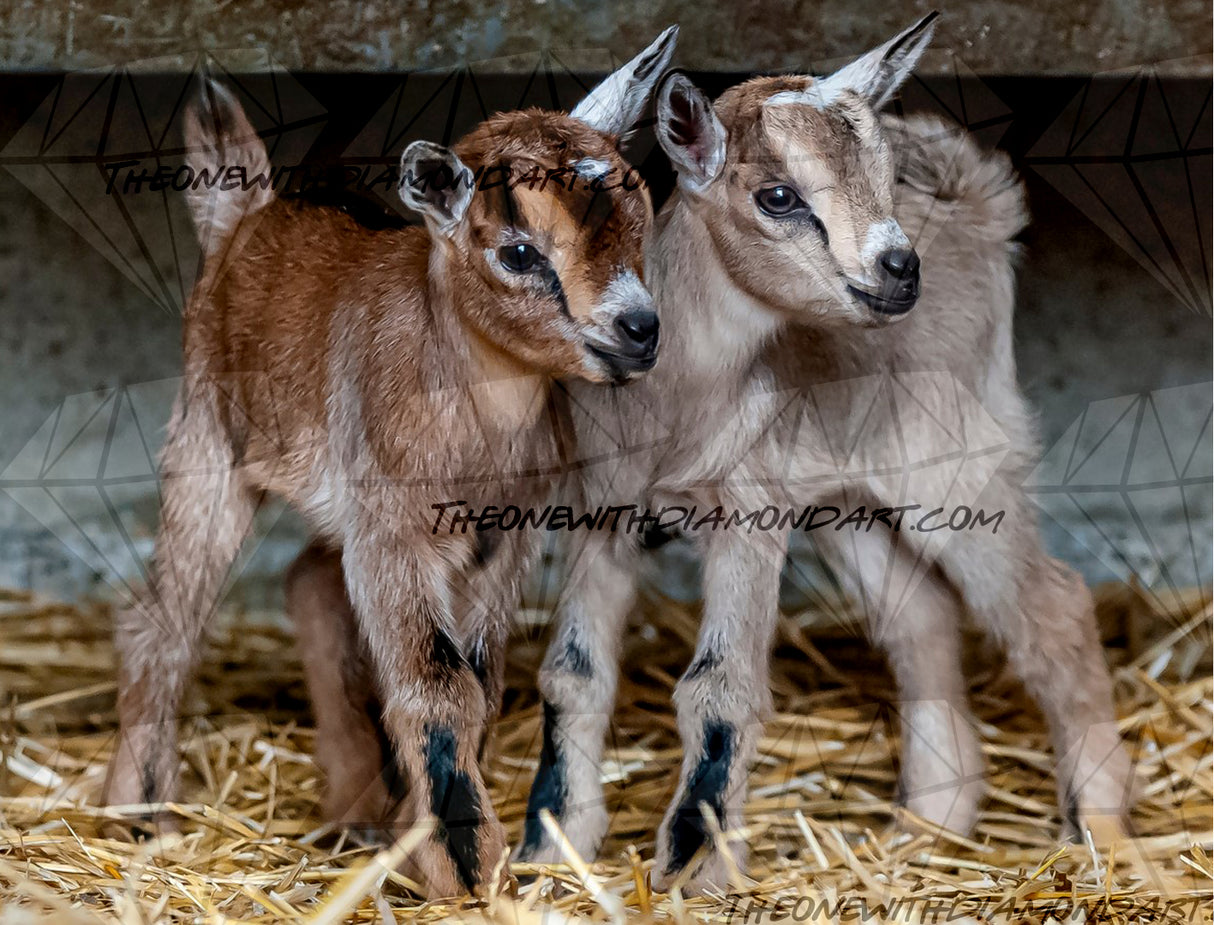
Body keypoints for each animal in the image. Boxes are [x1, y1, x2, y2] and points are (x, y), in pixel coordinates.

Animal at [103, 25, 677, 898]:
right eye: (519, 252)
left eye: (640, 221)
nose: (640, 329)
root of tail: (245, 216)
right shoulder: (397, 528)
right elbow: (437, 683)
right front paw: (466, 867)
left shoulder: (503, 533)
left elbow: (481, 678)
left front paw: (424, 841)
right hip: (210, 443)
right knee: (164, 618)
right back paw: (138, 817)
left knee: (309, 581)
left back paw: (356, 810)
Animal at [515, 13, 1133, 891]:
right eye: (778, 195)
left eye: (880, 177)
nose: (898, 270)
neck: (679, 402)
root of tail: (977, 210)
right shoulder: (604, 512)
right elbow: (573, 671)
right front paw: (552, 847)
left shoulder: (747, 512)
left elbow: (720, 685)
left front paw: (697, 867)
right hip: (851, 502)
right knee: (921, 620)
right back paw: (928, 826)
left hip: (960, 469)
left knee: (1054, 608)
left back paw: (1103, 828)